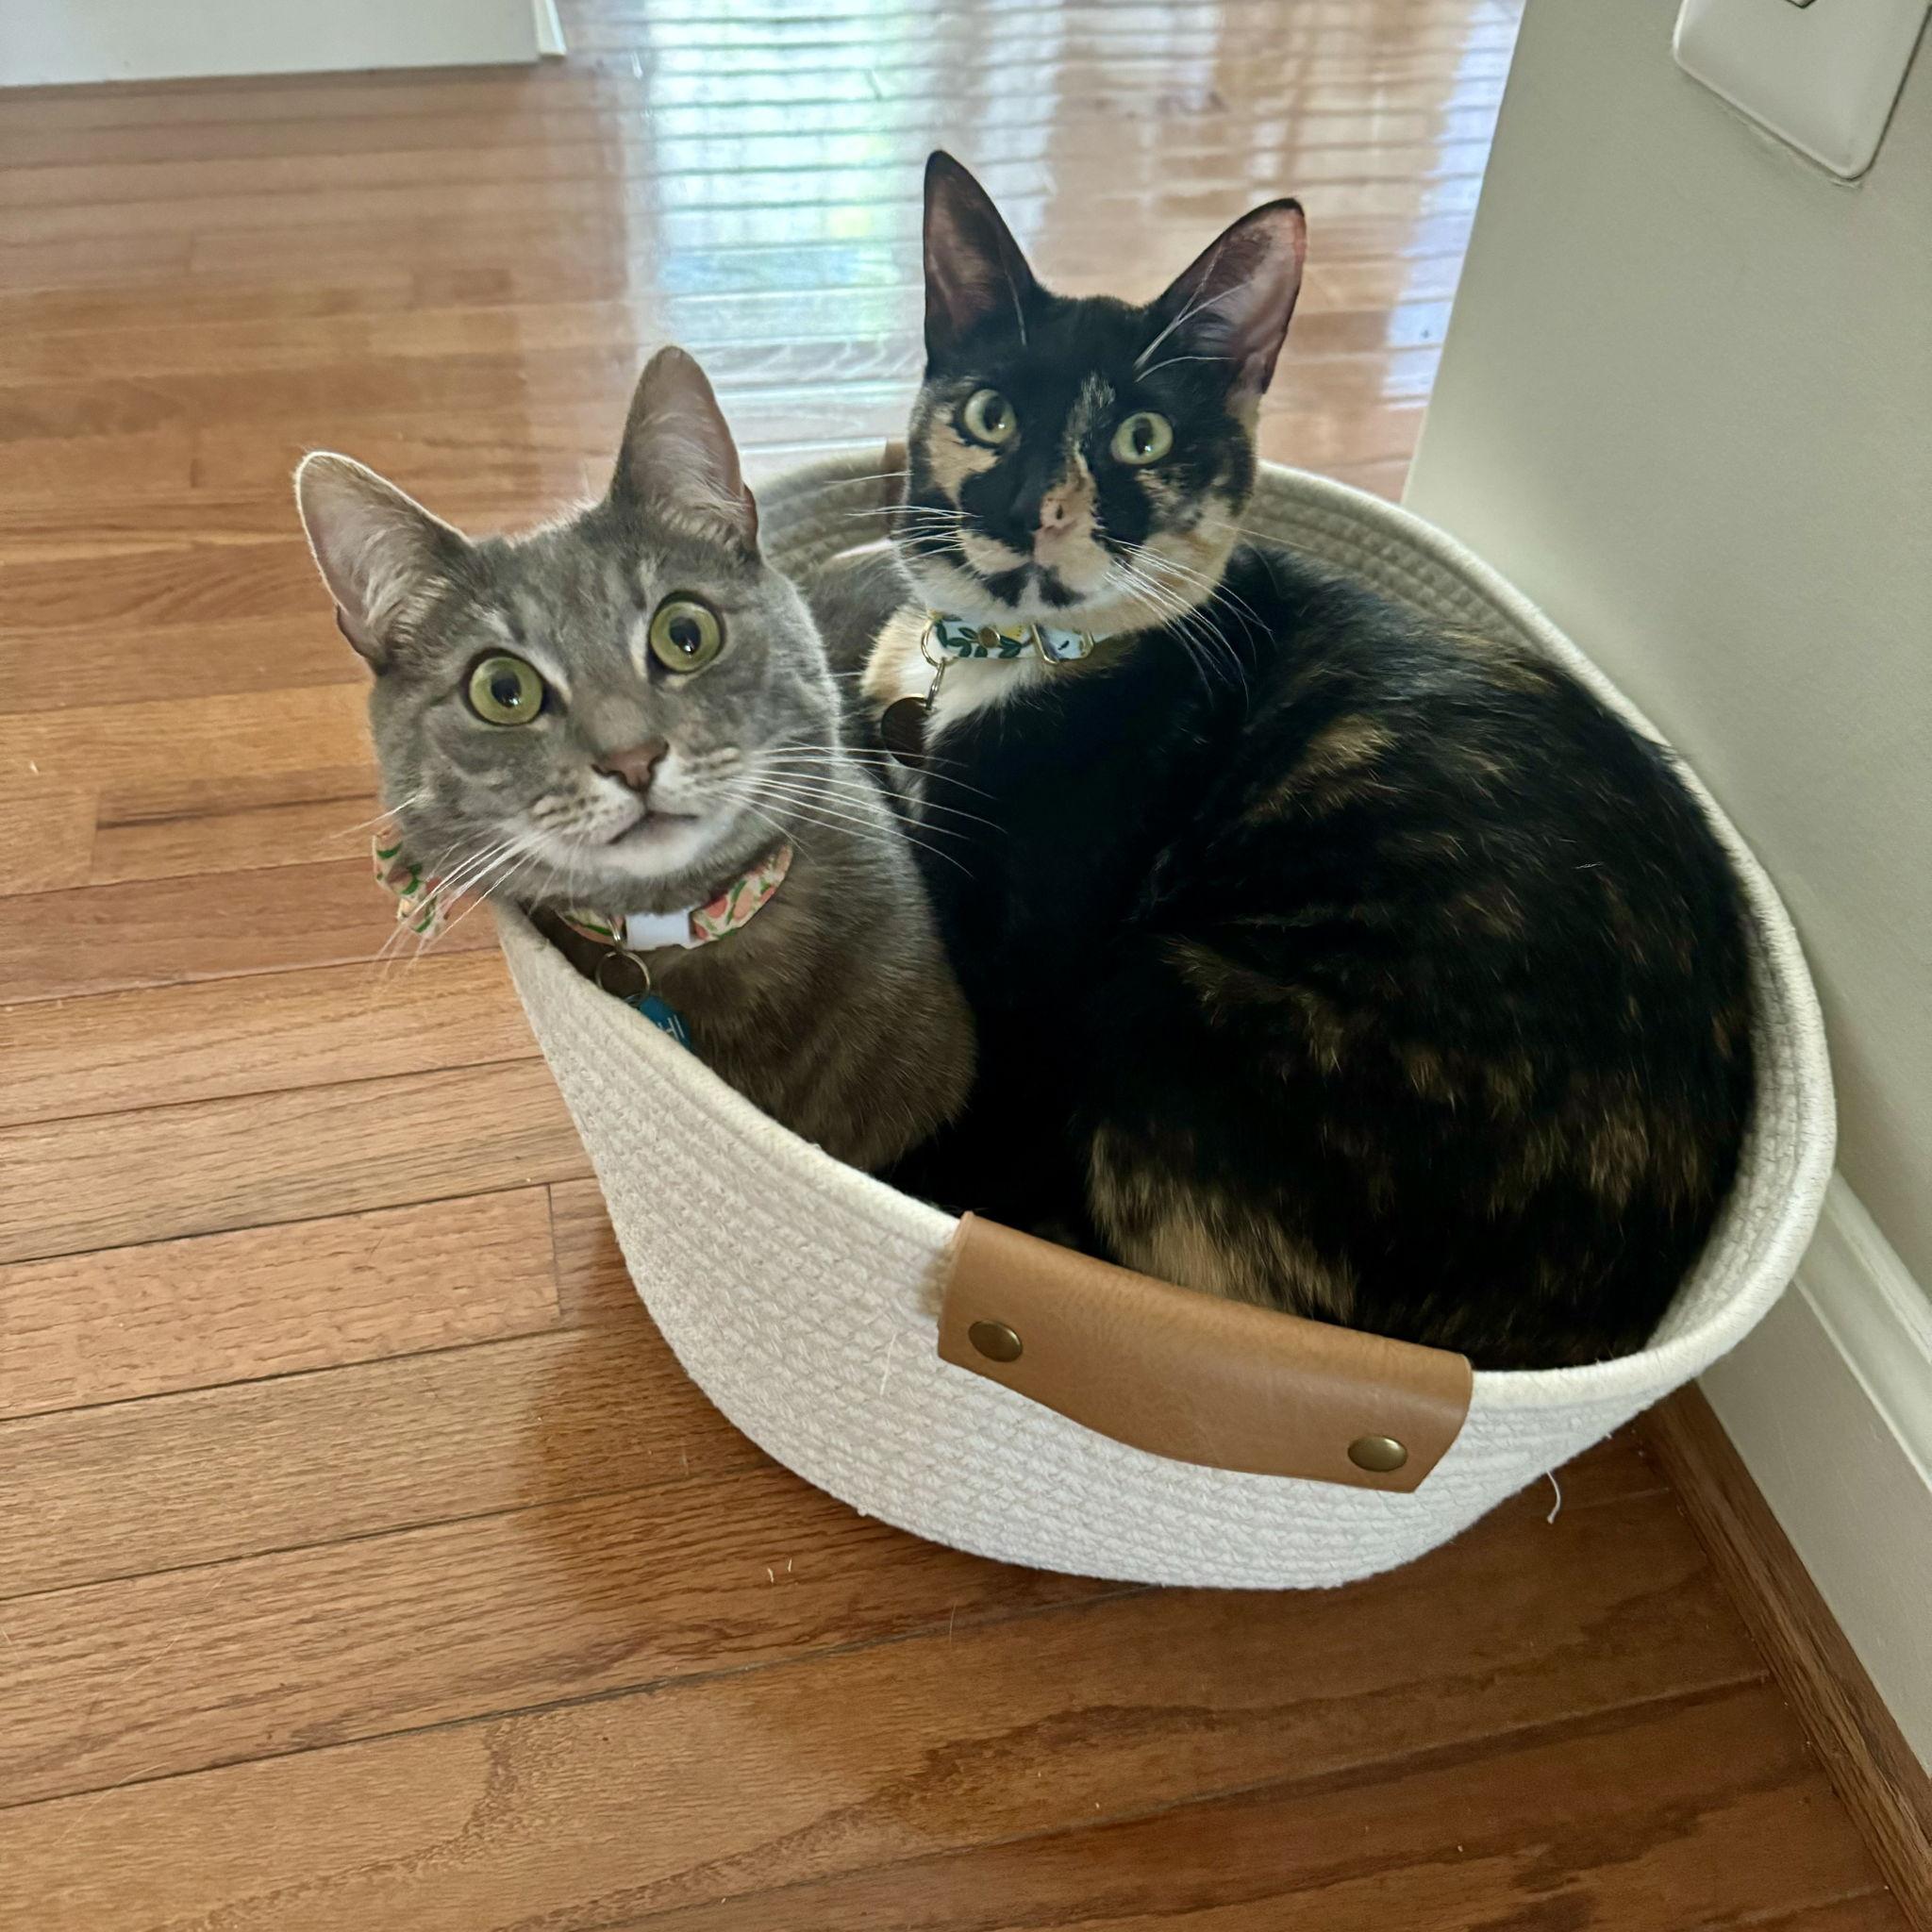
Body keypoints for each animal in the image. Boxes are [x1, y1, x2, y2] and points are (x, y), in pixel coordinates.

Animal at [842, 153, 1754, 1369]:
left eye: (1140, 438)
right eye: (989, 415)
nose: (1036, 508)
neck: (996, 659)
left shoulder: (1032, 966)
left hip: (1161, 995)